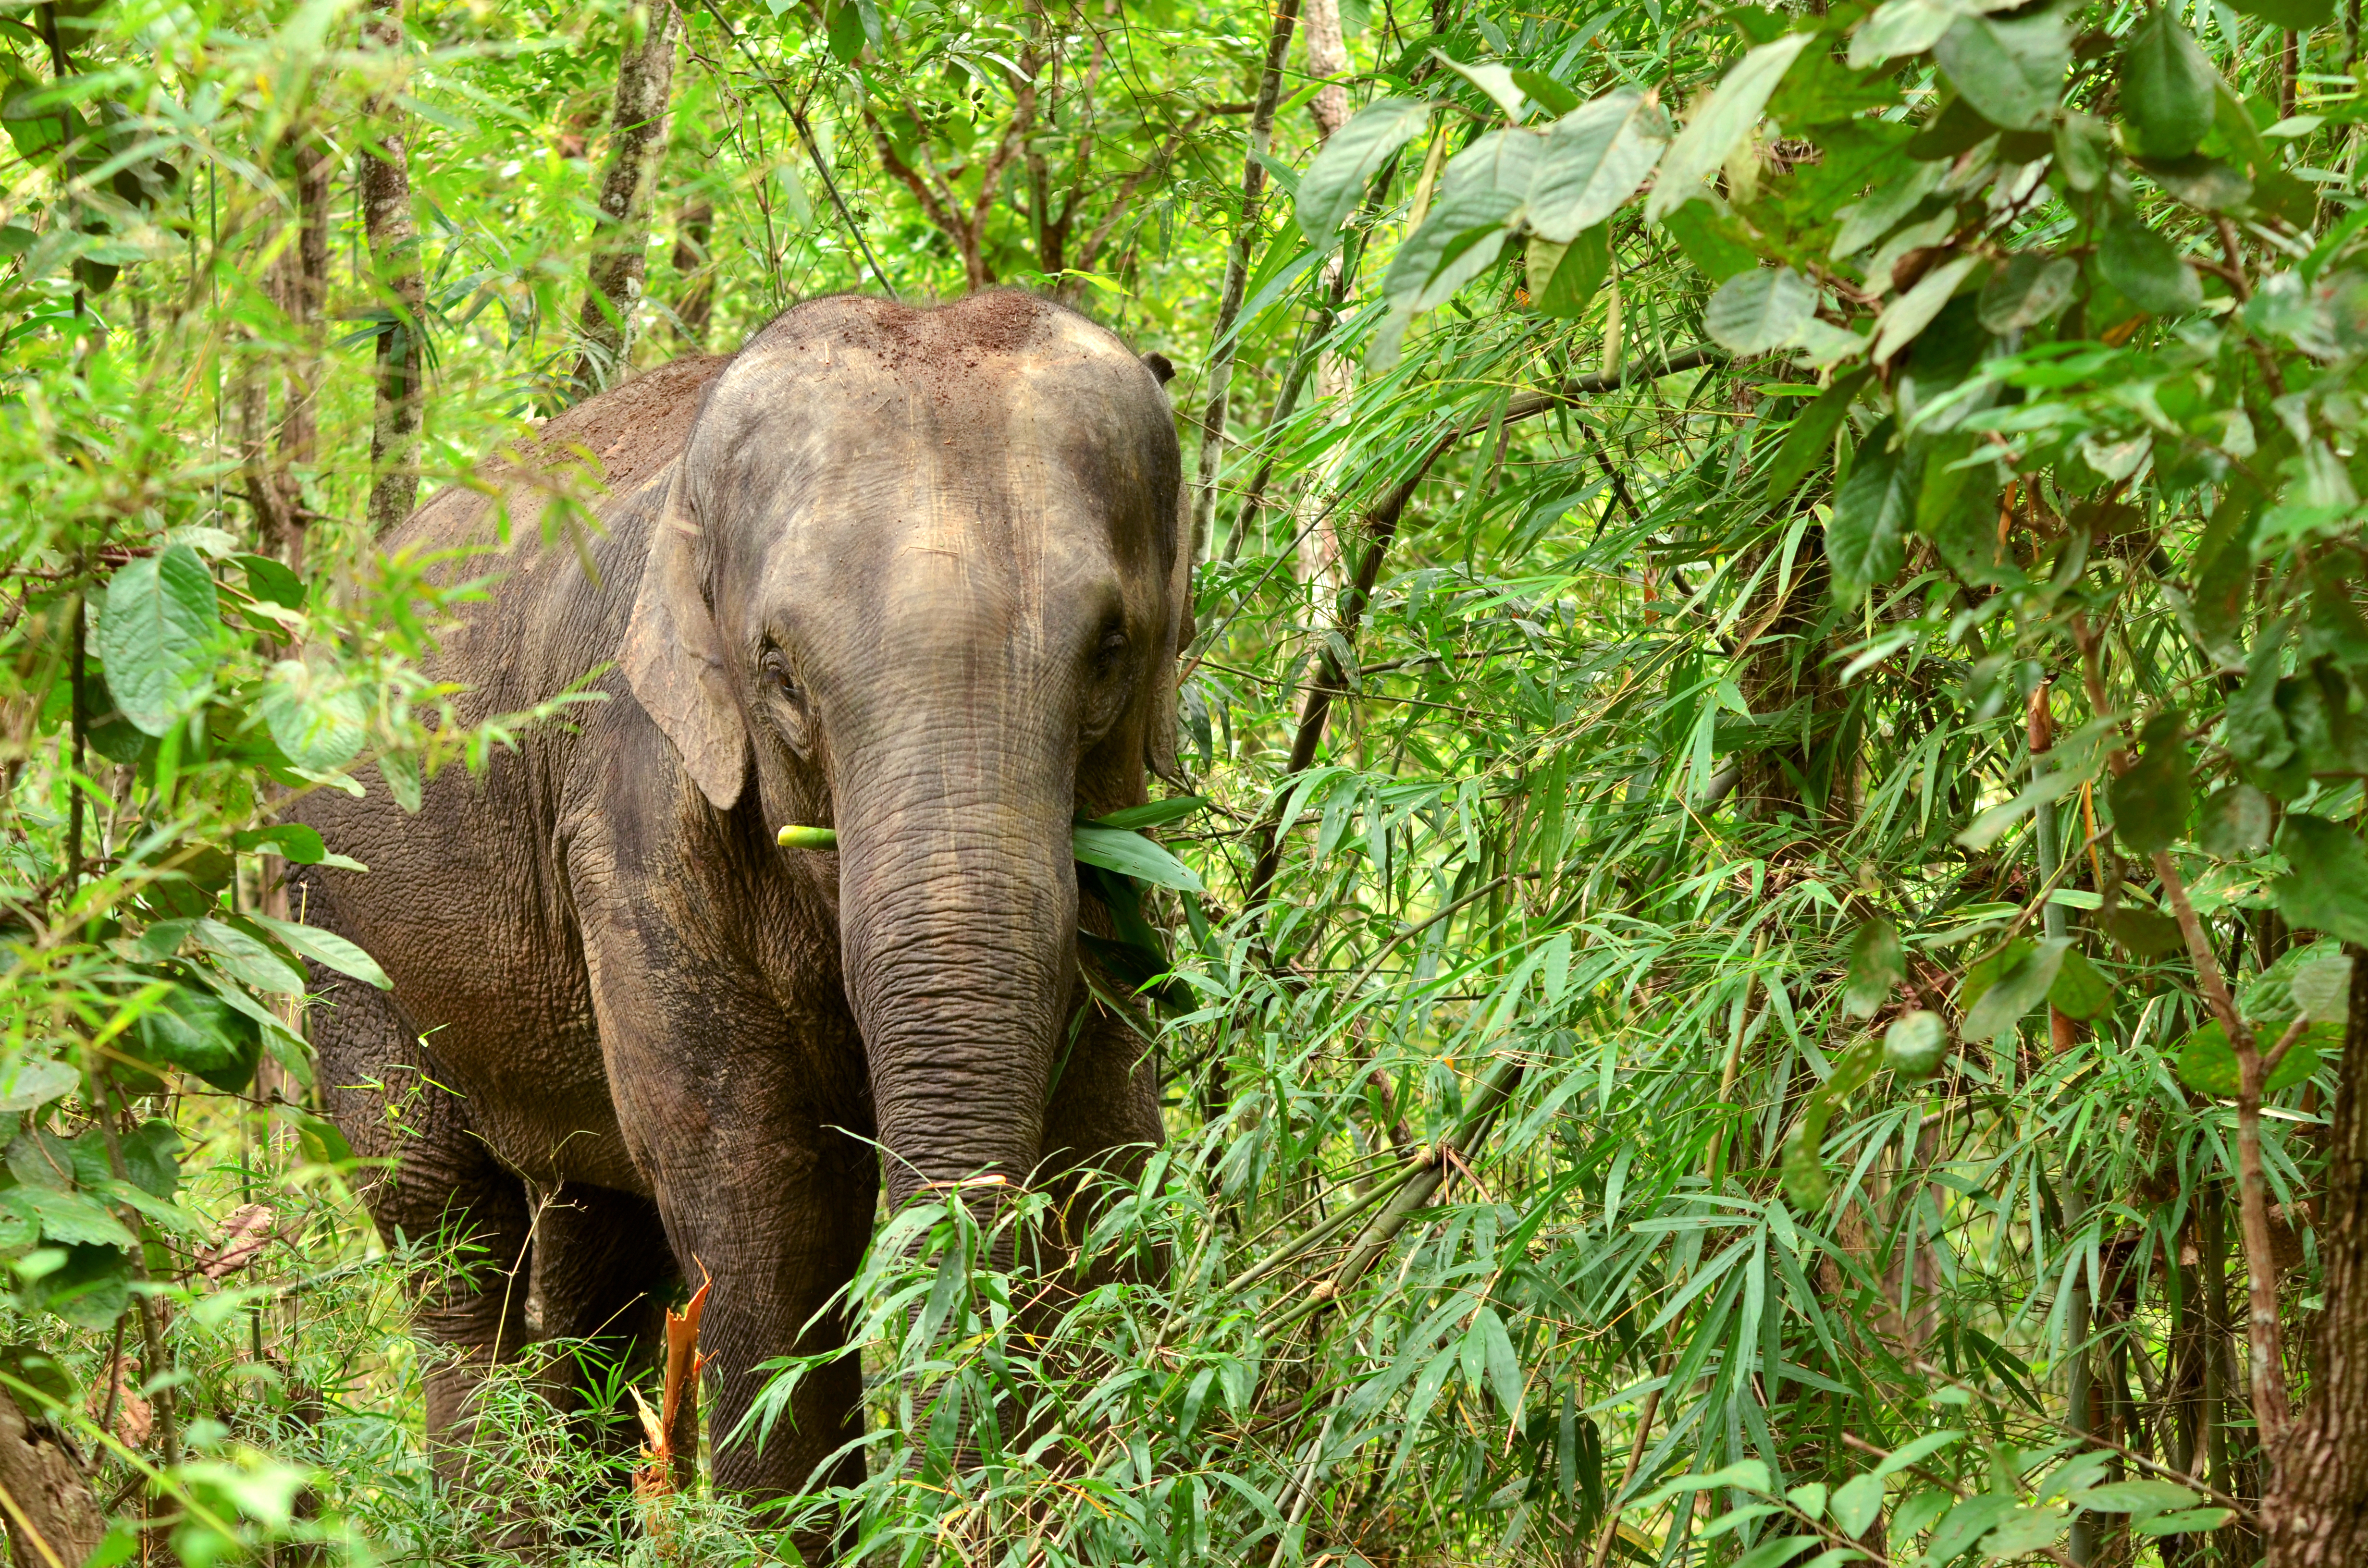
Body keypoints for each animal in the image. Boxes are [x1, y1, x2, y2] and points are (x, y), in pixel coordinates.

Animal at [288, 290, 1187, 1536]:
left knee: (600, 1248)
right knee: (446, 1229)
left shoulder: (1115, 844)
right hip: (339, 929)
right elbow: (764, 1196)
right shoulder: (634, 820)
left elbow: (1105, 1149)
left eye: (1110, 650)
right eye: (780, 669)